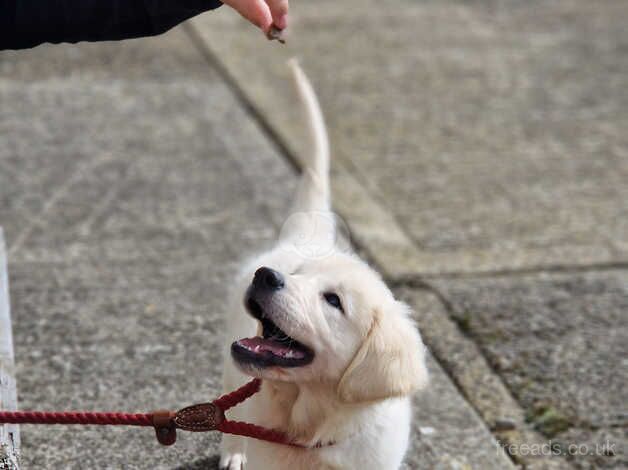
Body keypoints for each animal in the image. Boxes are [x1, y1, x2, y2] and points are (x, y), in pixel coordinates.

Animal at [218, 62, 430, 470]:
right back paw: (234, 453)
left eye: (333, 301)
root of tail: (309, 234)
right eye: (298, 275)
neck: (309, 432)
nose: (265, 276)